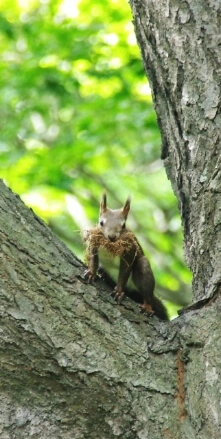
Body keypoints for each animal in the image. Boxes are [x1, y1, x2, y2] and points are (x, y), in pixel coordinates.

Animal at [83, 194, 168, 322]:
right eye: (101, 223)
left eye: (123, 225)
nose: (112, 236)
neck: (110, 246)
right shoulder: (93, 243)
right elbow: (93, 259)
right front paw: (91, 273)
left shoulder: (129, 252)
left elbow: (124, 273)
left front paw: (118, 292)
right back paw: (104, 276)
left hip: (142, 270)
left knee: (147, 293)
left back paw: (147, 306)